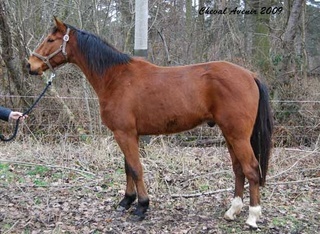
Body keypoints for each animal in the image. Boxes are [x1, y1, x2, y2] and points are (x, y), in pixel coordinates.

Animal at [27, 16, 272, 229]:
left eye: (50, 40)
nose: (30, 65)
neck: (116, 78)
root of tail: (250, 75)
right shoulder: (128, 134)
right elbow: (127, 167)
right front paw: (126, 201)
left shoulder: (124, 133)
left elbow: (136, 169)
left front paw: (141, 207)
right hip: (229, 134)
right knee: (238, 169)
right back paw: (233, 210)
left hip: (238, 136)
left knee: (251, 169)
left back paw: (252, 216)